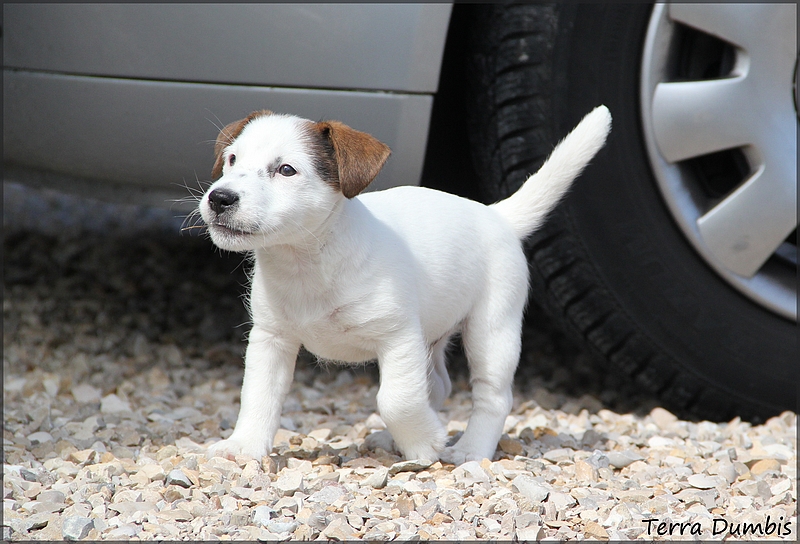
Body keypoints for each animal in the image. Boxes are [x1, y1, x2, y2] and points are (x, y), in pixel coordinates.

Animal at [200, 105, 611, 464]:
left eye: (286, 170)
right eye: (232, 159)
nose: (219, 198)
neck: (308, 260)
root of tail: (497, 215)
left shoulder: (398, 337)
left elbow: (396, 399)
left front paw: (426, 443)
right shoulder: (271, 338)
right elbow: (258, 395)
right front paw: (245, 445)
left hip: (493, 329)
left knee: (492, 397)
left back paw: (469, 449)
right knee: (439, 386)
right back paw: (394, 437)